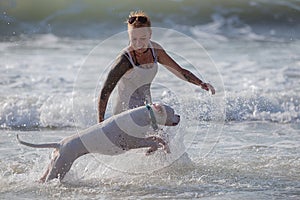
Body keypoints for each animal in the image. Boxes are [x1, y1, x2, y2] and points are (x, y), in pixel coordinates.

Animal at [17, 103, 180, 183]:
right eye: (173, 112)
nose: (179, 116)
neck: (146, 115)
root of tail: (60, 143)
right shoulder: (133, 142)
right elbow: (154, 141)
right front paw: (153, 149)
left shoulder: (139, 139)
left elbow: (156, 139)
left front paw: (162, 148)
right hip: (61, 166)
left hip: (55, 163)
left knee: (44, 176)